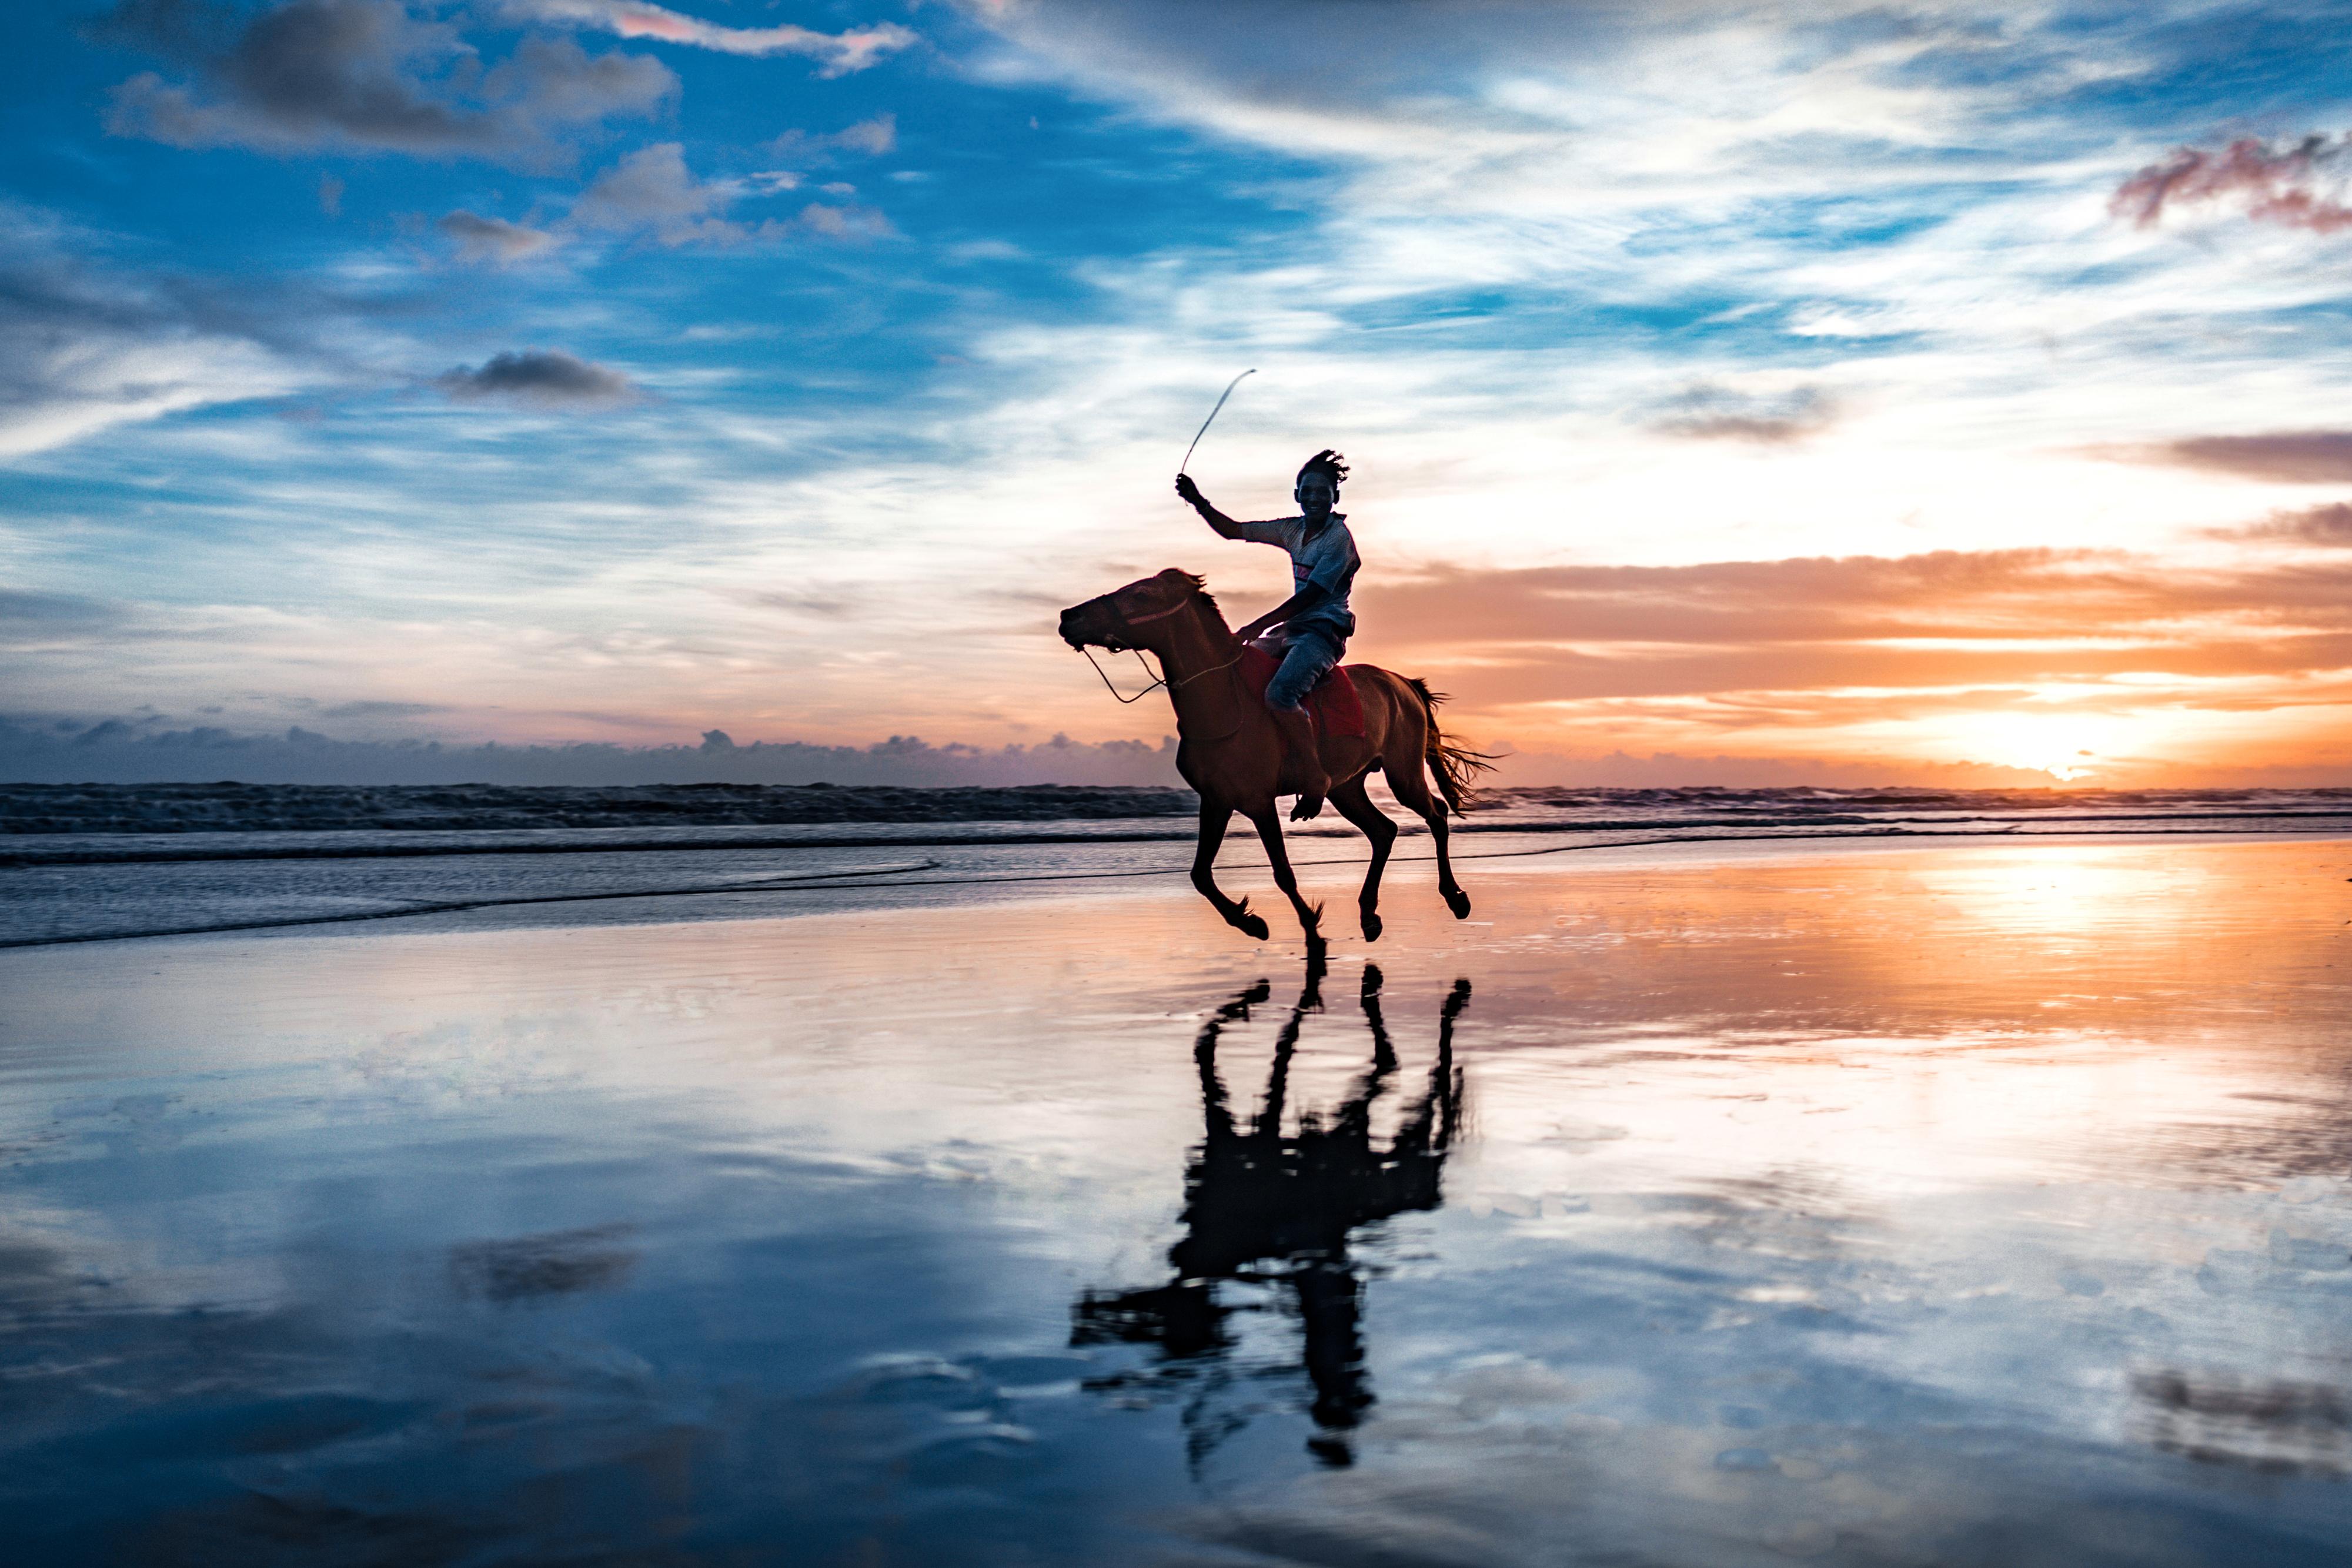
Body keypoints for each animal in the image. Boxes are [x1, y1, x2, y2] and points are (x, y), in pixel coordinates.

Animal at [1058, 568, 1492, 944]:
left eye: (1142, 595)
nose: (1068, 616)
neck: (1224, 702)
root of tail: (1404, 683)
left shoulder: (1258, 801)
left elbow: (1282, 872)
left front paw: (1310, 927)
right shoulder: (1216, 801)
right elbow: (1201, 874)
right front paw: (1250, 922)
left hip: (1403, 774)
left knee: (1436, 814)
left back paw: (1454, 896)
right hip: (1346, 788)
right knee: (1383, 831)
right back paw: (1369, 914)